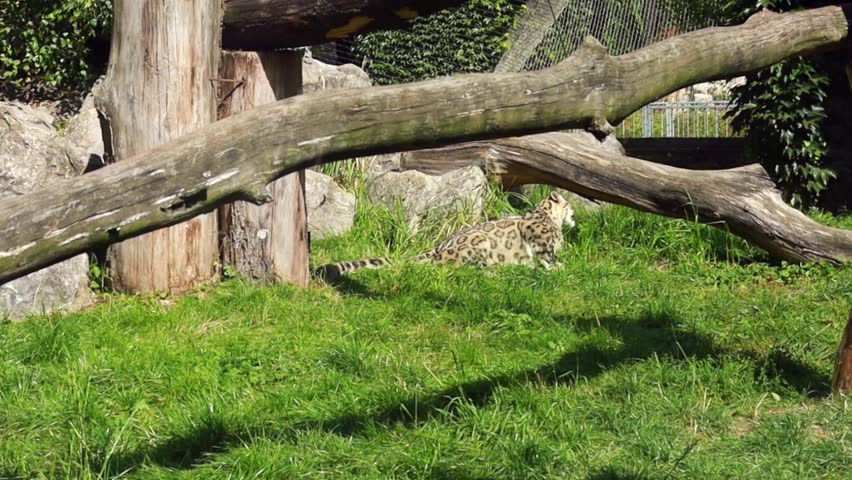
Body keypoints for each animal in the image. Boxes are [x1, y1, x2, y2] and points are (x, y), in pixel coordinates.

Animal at [313, 191, 576, 281]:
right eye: (570, 204)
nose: (575, 215)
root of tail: (439, 248)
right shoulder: (541, 242)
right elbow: (548, 256)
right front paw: (557, 267)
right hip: (478, 247)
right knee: (459, 269)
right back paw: (496, 270)